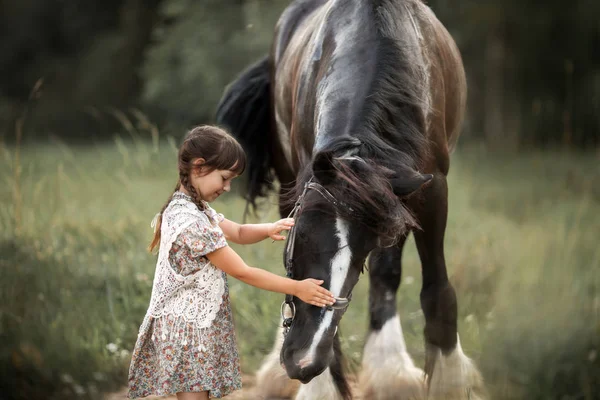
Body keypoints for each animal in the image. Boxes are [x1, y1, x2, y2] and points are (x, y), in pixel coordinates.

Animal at [216, 0, 482, 400]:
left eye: (360, 256)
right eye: (299, 239)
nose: (303, 362)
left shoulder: (429, 191)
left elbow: (437, 293)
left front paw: (447, 381)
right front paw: (321, 387)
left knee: (389, 274)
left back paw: (390, 371)